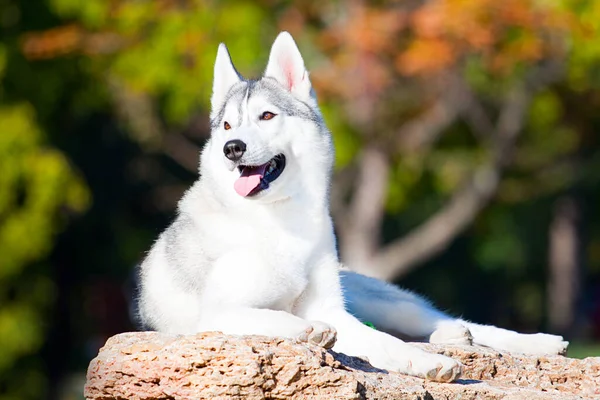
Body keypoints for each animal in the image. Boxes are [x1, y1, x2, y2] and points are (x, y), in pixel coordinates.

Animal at [138, 31, 568, 382]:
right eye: (227, 126)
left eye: (267, 115)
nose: (232, 149)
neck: (281, 223)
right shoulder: (216, 315)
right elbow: (274, 317)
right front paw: (306, 329)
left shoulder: (331, 307)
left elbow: (386, 342)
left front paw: (426, 361)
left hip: (378, 300)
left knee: (434, 320)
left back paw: (525, 340)